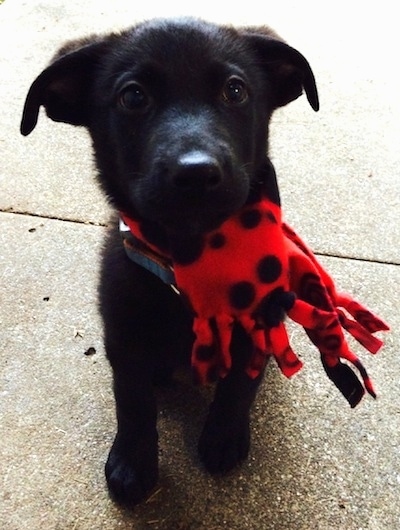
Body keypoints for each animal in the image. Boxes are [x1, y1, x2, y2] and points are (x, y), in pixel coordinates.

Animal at [21, 17, 318, 504]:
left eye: (235, 90)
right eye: (133, 96)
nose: (196, 173)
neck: (193, 256)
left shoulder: (258, 319)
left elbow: (240, 383)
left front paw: (224, 437)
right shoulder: (122, 332)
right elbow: (132, 400)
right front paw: (132, 462)